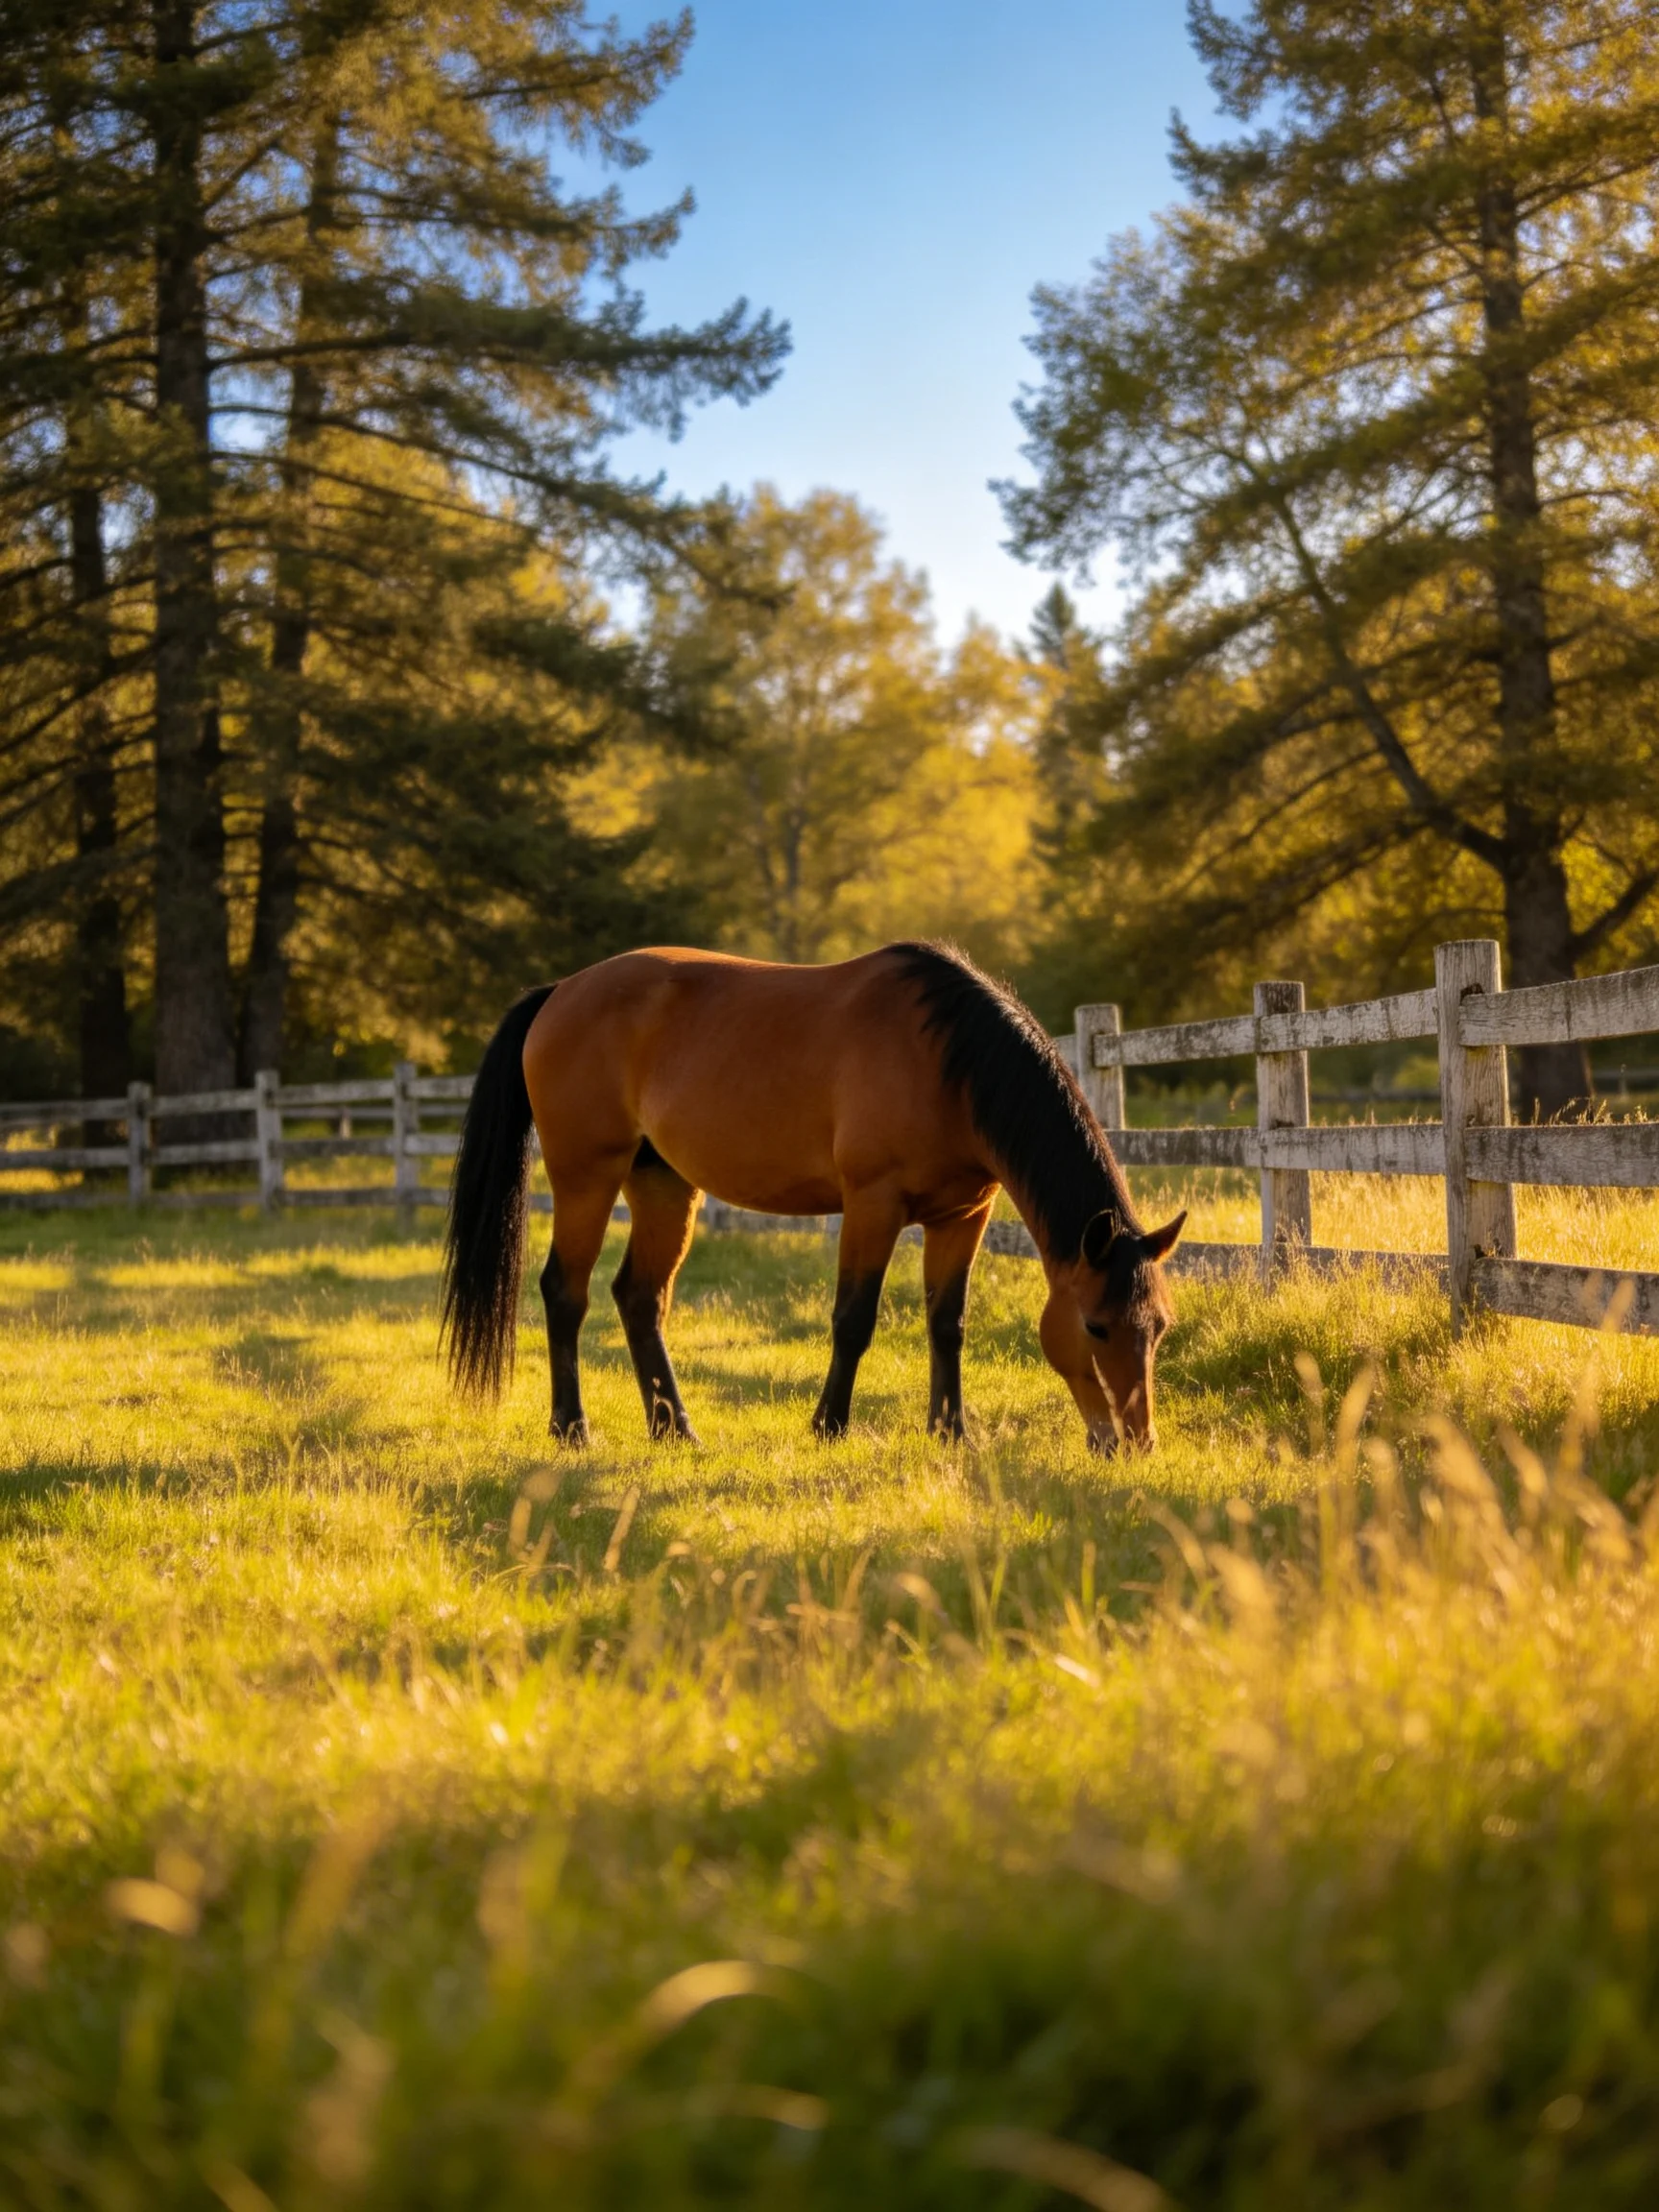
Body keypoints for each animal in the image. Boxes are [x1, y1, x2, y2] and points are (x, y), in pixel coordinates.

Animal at [440, 941, 1185, 1451]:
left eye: (1159, 1327)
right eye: (1095, 1326)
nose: (1133, 1441)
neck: (945, 1057)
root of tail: (560, 991)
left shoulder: (963, 1215)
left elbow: (947, 1323)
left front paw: (950, 1431)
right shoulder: (872, 1205)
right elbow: (853, 1320)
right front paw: (829, 1424)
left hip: (661, 1183)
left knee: (639, 1297)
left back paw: (675, 1428)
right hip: (585, 1176)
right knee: (565, 1292)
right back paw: (572, 1428)